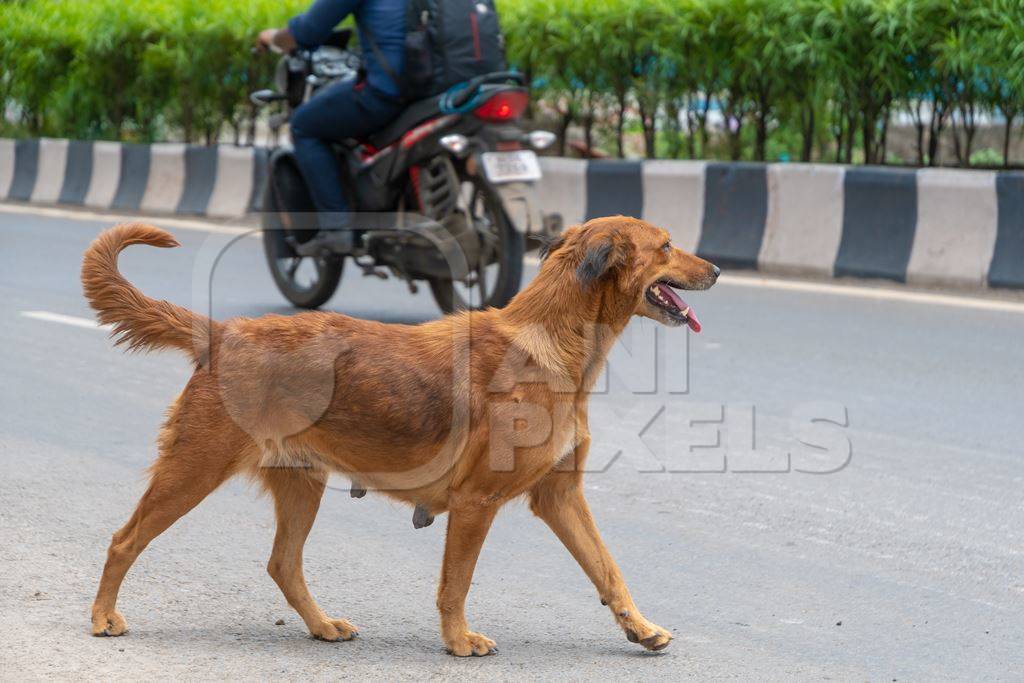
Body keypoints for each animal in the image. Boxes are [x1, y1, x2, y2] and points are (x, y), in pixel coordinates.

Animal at [83, 218, 716, 655]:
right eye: (666, 246)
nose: (713, 270)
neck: (549, 342)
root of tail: (225, 333)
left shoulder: (560, 497)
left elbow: (609, 570)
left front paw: (642, 628)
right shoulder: (476, 504)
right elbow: (456, 584)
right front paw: (458, 641)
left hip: (301, 487)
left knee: (283, 564)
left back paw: (321, 625)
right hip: (193, 470)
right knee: (123, 540)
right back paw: (101, 617)